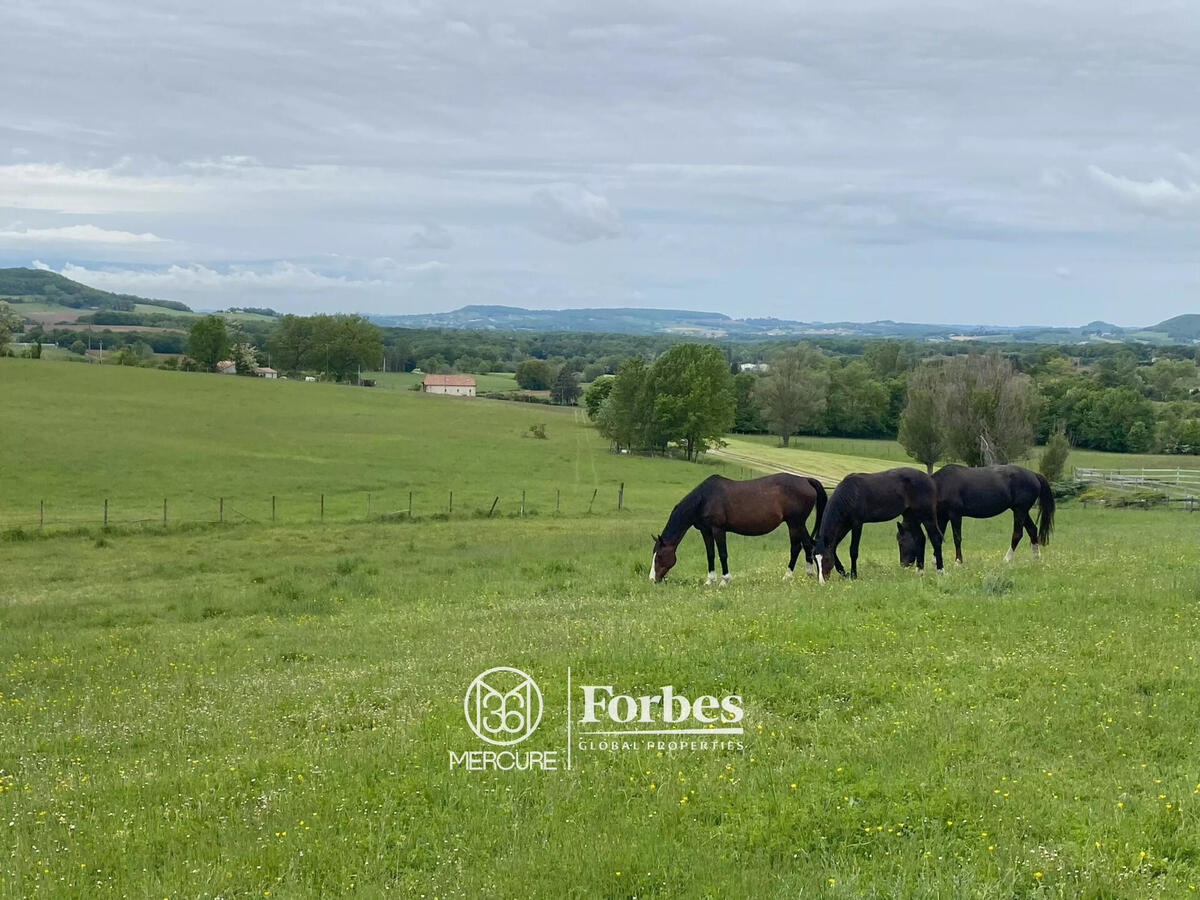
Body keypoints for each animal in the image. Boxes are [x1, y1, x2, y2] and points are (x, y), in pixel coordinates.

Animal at [652, 472, 830, 585]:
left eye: (659, 556)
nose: (652, 579)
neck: (704, 499)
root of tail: (806, 480)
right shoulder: (706, 531)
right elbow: (710, 554)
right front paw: (710, 580)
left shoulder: (718, 530)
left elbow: (722, 554)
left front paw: (724, 580)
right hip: (799, 524)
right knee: (807, 545)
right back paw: (809, 573)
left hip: (794, 523)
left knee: (796, 547)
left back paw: (787, 576)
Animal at [811, 468, 940, 580]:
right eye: (815, 560)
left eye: (826, 559)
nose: (822, 581)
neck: (849, 494)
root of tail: (929, 479)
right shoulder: (845, 525)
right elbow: (834, 548)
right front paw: (844, 573)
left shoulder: (857, 524)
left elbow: (853, 551)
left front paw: (853, 575)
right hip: (912, 515)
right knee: (920, 538)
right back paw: (920, 572)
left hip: (926, 515)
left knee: (936, 538)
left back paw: (940, 571)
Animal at [897, 465, 1056, 564]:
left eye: (902, 541)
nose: (904, 564)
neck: (940, 485)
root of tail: (1034, 475)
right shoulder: (942, 516)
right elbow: (938, 536)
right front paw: (935, 560)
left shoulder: (955, 515)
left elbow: (957, 538)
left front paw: (958, 561)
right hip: (1021, 510)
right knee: (1032, 530)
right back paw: (1036, 558)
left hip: (1020, 511)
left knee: (1018, 534)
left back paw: (1006, 559)